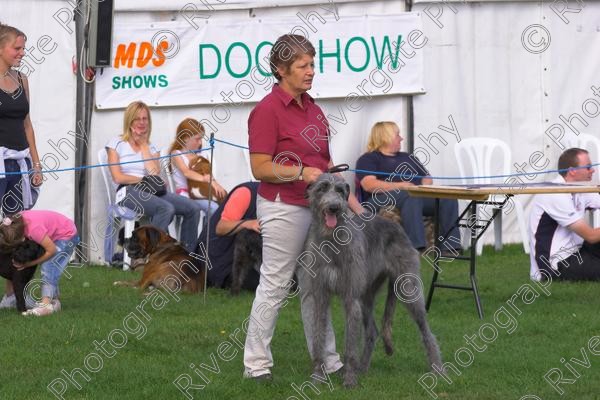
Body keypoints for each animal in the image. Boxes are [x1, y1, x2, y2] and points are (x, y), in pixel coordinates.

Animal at [298, 174, 442, 388]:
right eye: (322, 188)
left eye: (340, 190)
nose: (334, 208)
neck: (331, 241)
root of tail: (397, 225)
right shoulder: (321, 297)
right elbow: (318, 338)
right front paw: (317, 377)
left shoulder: (351, 298)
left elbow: (350, 345)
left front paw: (349, 380)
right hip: (366, 294)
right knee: (372, 331)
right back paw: (363, 367)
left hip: (407, 287)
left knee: (426, 330)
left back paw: (438, 368)